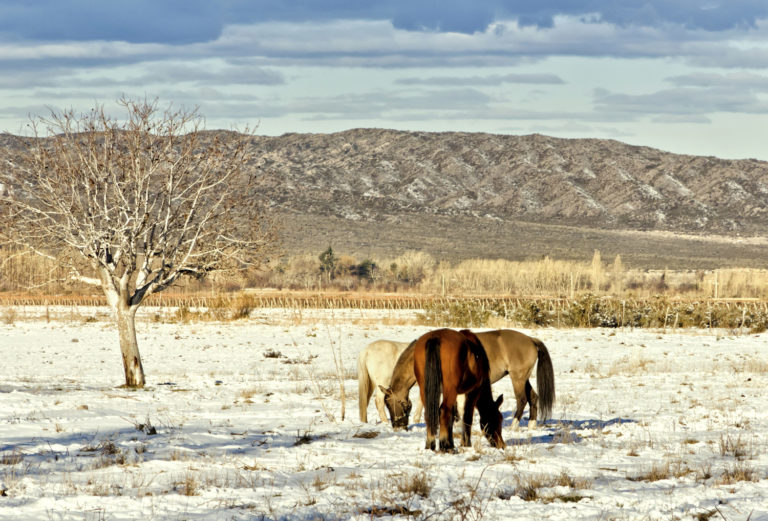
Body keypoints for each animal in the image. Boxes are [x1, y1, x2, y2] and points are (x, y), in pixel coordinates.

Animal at [381, 328, 555, 431]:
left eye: (390, 404)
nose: (397, 427)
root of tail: (530, 339)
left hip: (517, 378)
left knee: (522, 399)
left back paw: (513, 425)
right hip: (523, 378)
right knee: (533, 397)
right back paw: (532, 425)